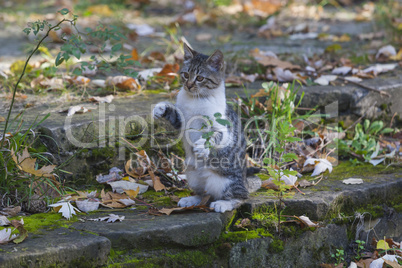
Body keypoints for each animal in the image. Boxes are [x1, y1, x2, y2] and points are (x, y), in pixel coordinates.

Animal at [152, 43, 250, 213]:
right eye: (185, 75)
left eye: (200, 78)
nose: (189, 85)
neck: (195, 99)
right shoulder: (182, 120)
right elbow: (174, 114)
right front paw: (161, 108)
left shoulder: (223, 128)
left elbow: (215, 136)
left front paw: (203, 145)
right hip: (192, 175)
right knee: (204, 194)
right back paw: (192, 199)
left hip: (226, 182)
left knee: (241, 196)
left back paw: (224, 203)